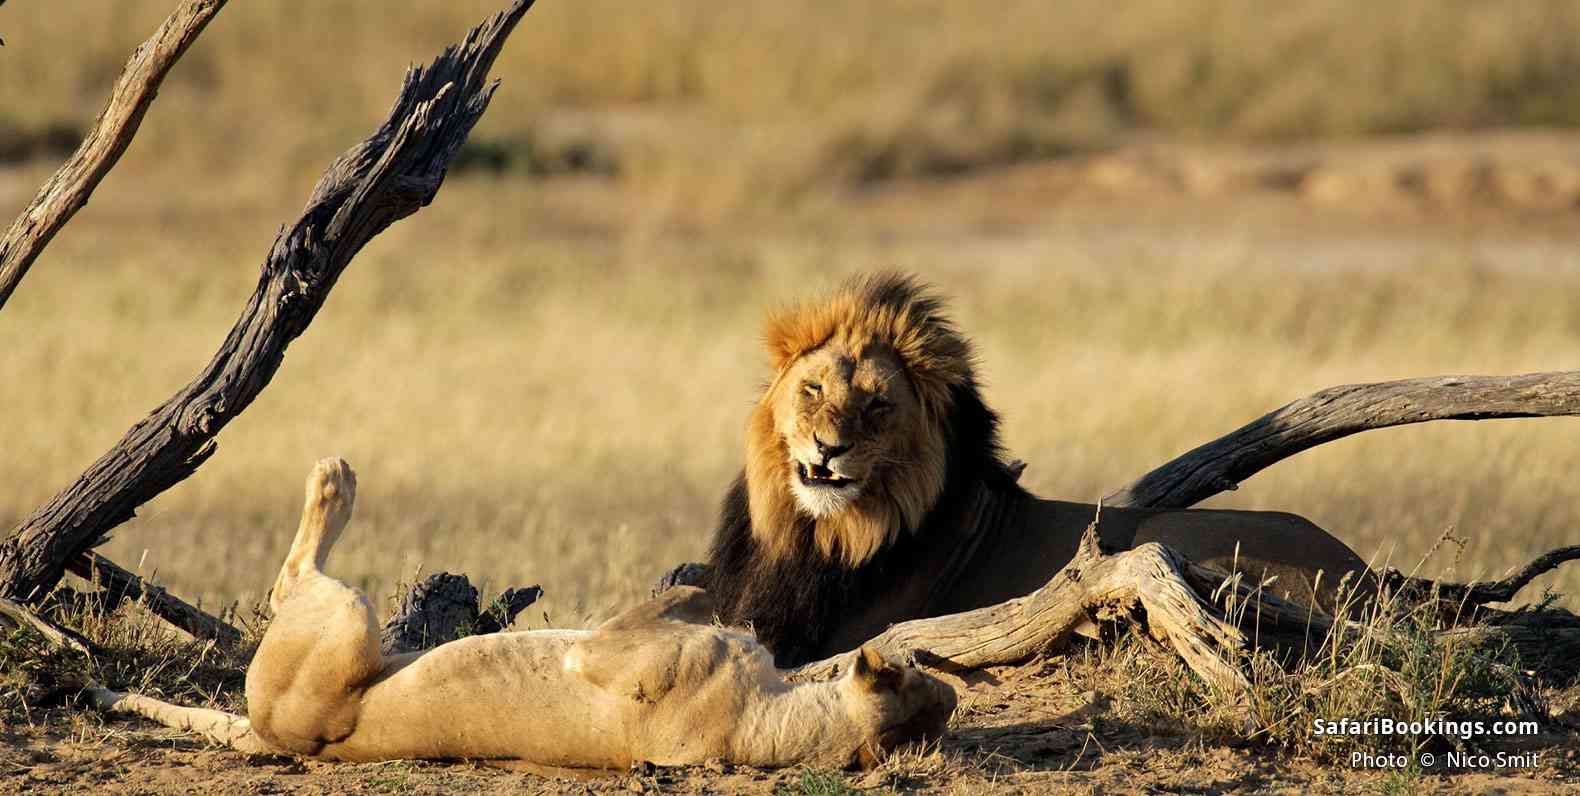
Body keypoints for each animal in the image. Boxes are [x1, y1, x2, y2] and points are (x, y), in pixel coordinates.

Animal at [89, 458, 956, 770]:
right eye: (924, 672)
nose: (935, 672)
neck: (772, 722)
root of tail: (273, 738)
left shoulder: (601, 653)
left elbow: (674, 608)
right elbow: (714, 600)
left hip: (348, 623)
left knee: (290, 580)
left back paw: (334, 478)